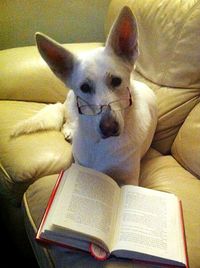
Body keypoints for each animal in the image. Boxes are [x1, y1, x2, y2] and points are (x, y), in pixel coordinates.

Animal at [11, 6, 157, 186]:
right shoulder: (80, 165)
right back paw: (70, 131)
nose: (109, 127)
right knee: (68, 120)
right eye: (85, 87)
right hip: (71, 107)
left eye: (116, 81)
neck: (100, 143)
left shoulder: (129, 179)